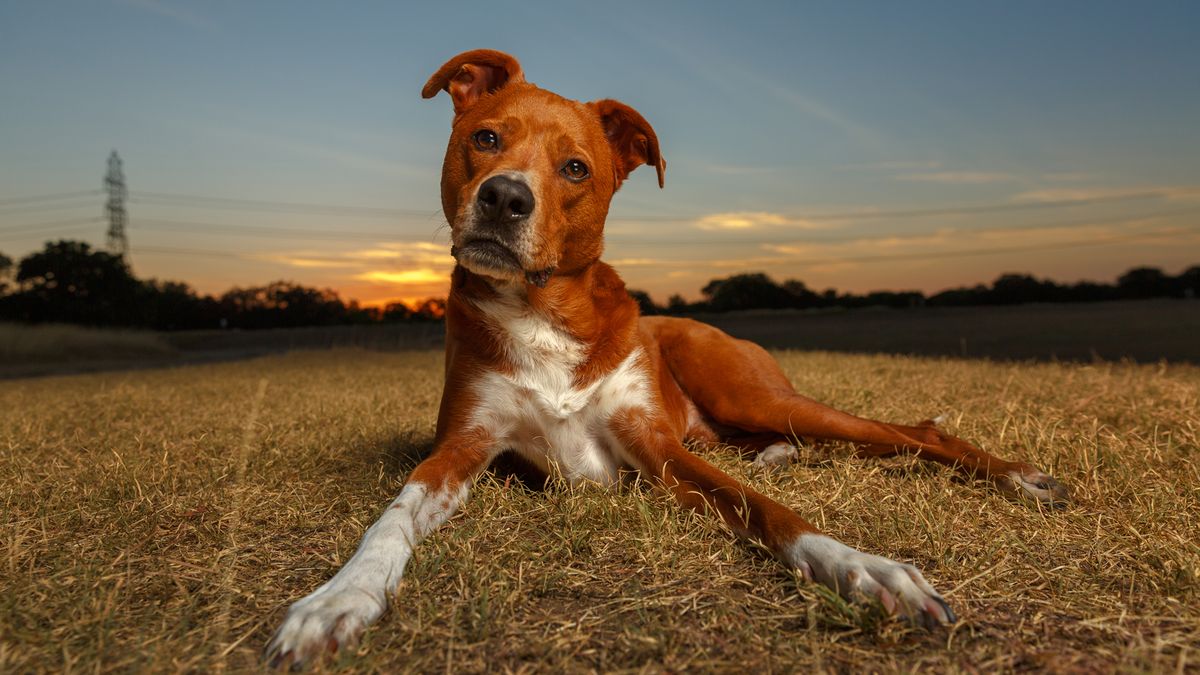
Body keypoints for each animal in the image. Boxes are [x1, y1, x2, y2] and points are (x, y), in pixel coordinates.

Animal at [265, 48, 1070, 667]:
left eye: (576, 168)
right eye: (487, 138)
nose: (504, 198)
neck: (546, 312)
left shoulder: (654, 445)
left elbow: (771, 512)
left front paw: (867, 571)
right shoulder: (462, 446)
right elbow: (392, 517)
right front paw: (336, 600)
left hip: (749, 389)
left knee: (910, 433)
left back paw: (1020, 478)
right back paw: (777, 453)